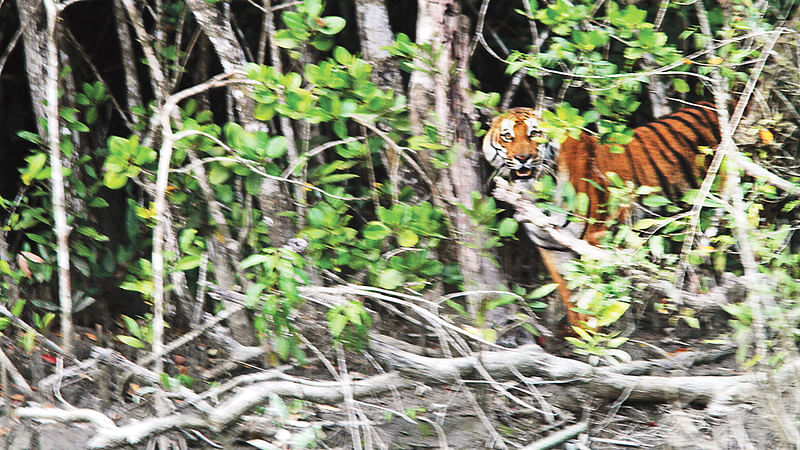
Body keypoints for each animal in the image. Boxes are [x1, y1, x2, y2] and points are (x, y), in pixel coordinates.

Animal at [484, 102, 720, 326]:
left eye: (534, 133)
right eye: (507, 136)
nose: (523, 157)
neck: (536, 192)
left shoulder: (596, 239)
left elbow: (592, 299)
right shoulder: (553, 249)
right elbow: (572, 300)